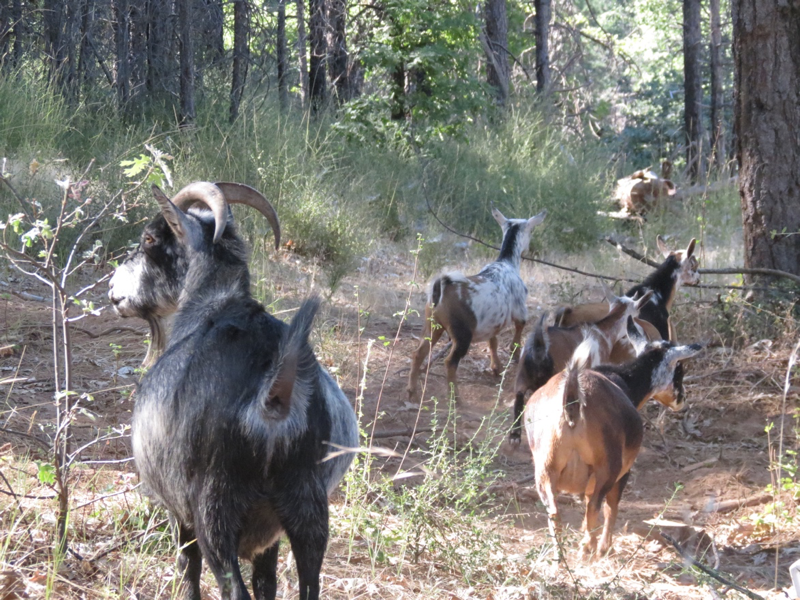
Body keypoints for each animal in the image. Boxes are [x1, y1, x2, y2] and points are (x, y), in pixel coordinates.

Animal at [108, 183, 358, 600]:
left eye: (150, 239)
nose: (113, 289)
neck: (208, 307)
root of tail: (273, 395)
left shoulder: (180, 512)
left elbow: (187, 570)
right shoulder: (270, 538)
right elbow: (267, 582)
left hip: (214, 509)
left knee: (231, 587)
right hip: (308, 507)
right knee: (307, 585)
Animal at [406, 209, 552, 400]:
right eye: (531, 230)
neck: (506, 262)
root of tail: (442, 287)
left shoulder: (493, 321)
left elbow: (493, 341)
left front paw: (496, 367)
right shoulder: (520, 310)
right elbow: (517, 333)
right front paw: (513, 356)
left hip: (432, 324)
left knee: (418, 353)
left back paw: (412, 391)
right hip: (462, 333)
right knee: (450, 362)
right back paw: (455, 398)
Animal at [510, 290, 652, 440]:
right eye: (637, 316)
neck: (602, 332)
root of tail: (540, 347)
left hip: (522, 375)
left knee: (519, 397)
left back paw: (515, 436)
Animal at [524, 338, 708, 556]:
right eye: (679, 371)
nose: (683, 401)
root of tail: (572, 402)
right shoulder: (622, 472)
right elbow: (611, 506)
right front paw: (605, 547)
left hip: (545, 469)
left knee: (555, 513)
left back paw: (560, 557)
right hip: (608, 468)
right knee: (595, 506)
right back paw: (590, 549)